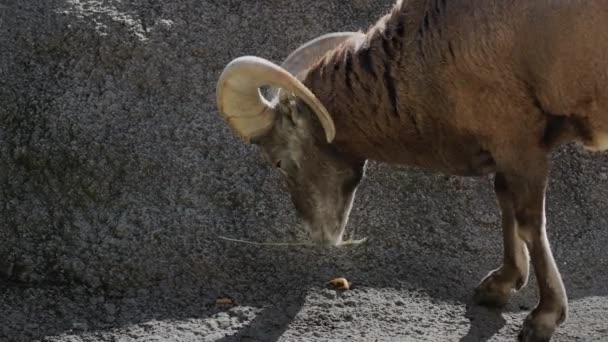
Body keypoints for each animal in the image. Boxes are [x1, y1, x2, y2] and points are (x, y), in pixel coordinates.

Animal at [215, 1, 608, 340]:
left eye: (279, 161)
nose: (319, 235)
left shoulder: (520, 144)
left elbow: (529, 224)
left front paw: (543, 319)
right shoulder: (505, 149)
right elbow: (505, 204)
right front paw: (498, 287)